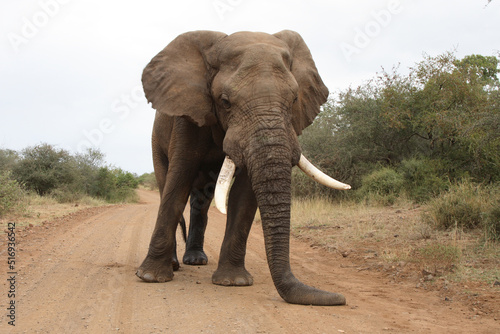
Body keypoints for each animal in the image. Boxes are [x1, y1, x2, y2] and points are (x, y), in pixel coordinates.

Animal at [135, 29, 350, 306]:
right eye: (225, 101)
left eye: (294, 100)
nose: (341, 299)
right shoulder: (187, 116)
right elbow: (179, 180)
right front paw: (150, 277)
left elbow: (245, 195)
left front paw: (233, 282)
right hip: (156, 140)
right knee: (166, 187)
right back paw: (175, 264)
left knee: (201, 202)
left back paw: (196, 260)